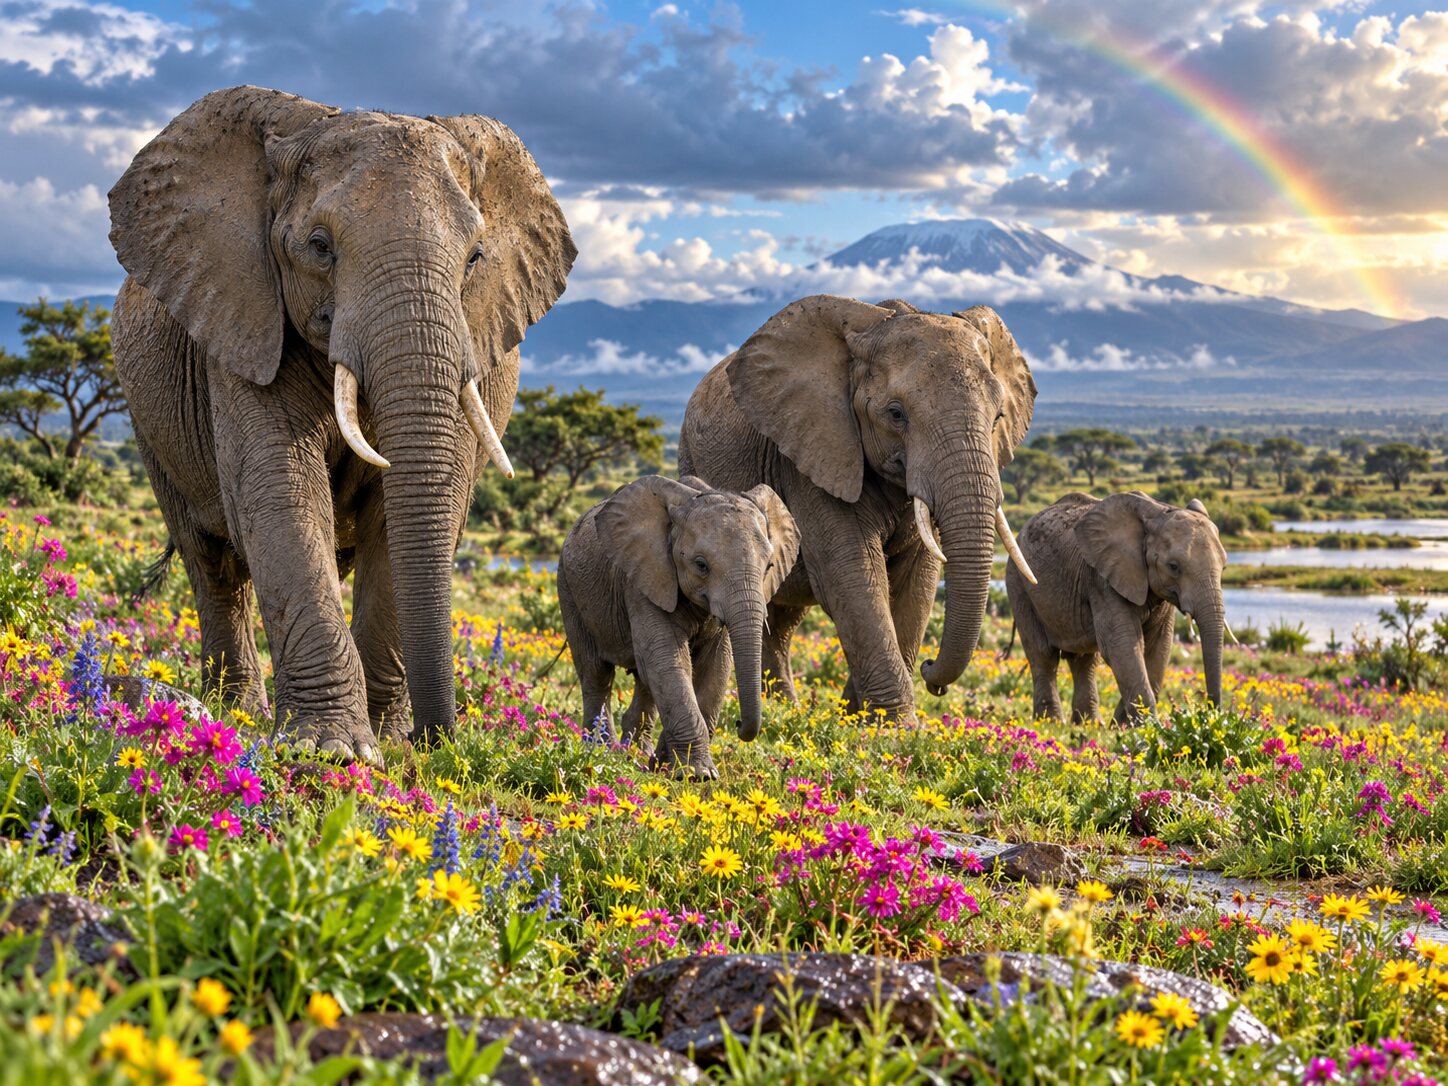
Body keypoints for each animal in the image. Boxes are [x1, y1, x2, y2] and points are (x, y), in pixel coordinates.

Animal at [107, 86, 575, 760]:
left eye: (475, 258)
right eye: (319, 246)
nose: (437, 738)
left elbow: (409, 514)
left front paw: (387, 743)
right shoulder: (244, 322)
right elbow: (281, 493)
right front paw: (331, 752)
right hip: (149, 423)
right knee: (212, 561)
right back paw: (232, 714)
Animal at [557, 476, 799, 778]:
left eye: (768, 566)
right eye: (701, 565)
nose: (738, 725)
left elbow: (715, 665)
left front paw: (665, 764)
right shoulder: (643, 580)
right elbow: (668, 659)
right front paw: (696, 775)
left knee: (644, 681)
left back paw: (637, 753)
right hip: (568, 588)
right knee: (596, 673)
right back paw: (602, 751)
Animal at [677, 295, 1038, 721]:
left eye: (998, 416)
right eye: (896, 414)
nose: (932, 672)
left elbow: (917, 580)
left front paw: (860, 717)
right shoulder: (814, 451)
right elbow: (853, 574)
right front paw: (892, 725)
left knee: (780, 618)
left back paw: (788, 709)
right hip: (690, 456)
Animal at [1005, 492, 1228, 724]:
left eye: (1224, 567)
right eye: (1173, 567)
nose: (1212, 713)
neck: (1158, 511)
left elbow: (1158, 647)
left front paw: (1121, 725)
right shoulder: (1103, 580)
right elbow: (1122, 645)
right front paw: (1146, 727)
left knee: (1084, 661)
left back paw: (1089, 724)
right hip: (1018, 582)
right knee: (1043, 655)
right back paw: (1051, 722)